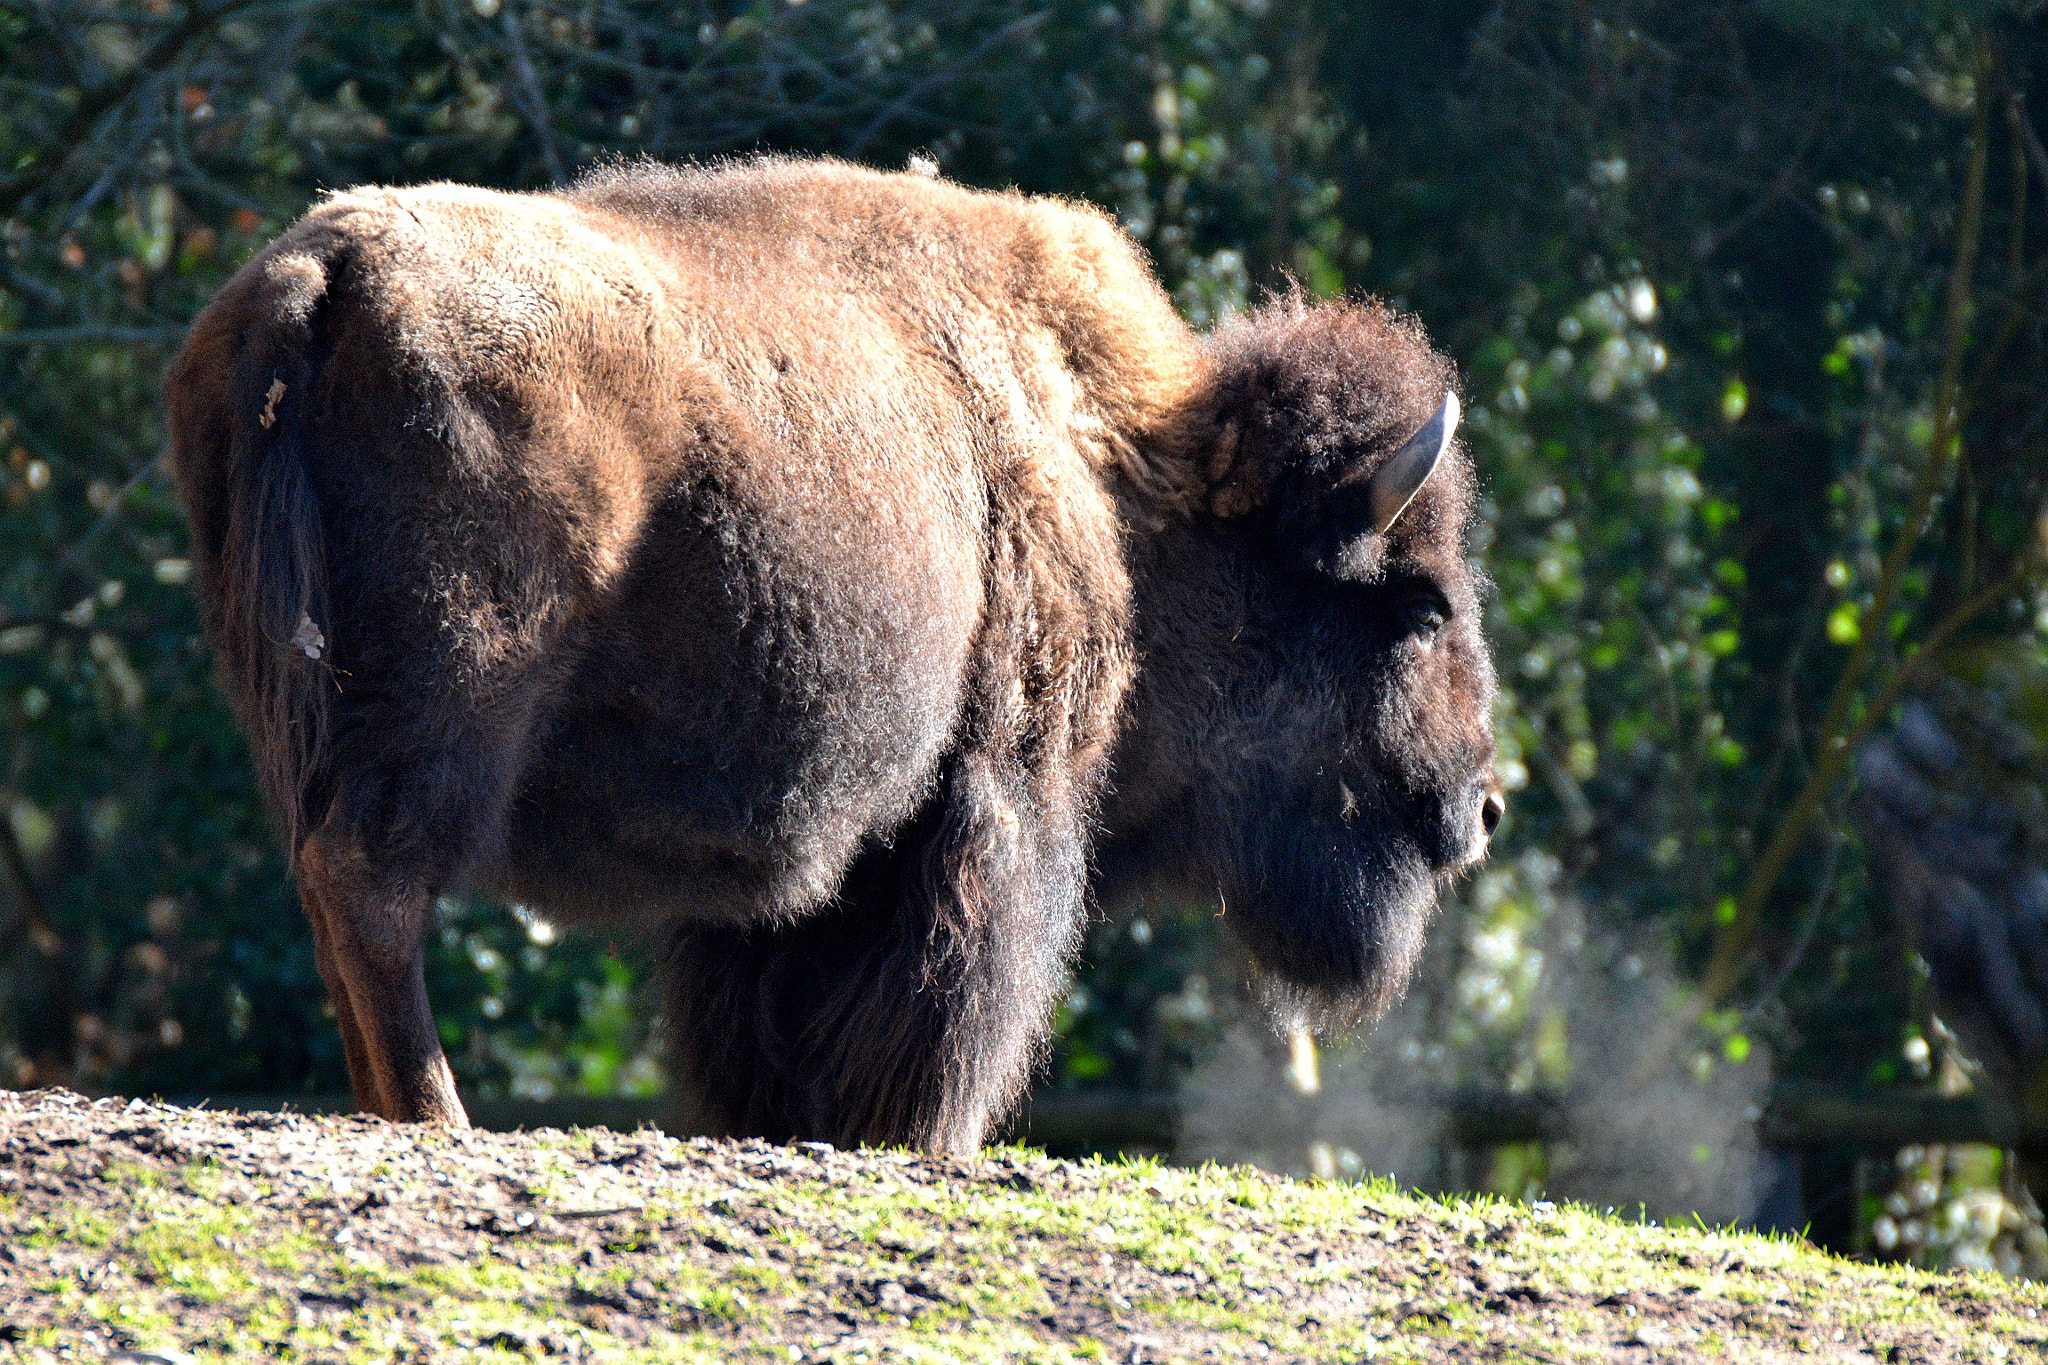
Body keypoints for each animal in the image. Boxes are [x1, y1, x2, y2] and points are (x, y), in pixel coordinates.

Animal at [168, 157, 1500, 1154]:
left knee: (328, 888)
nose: (1482, 806)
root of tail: (319, 272)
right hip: (451, 706)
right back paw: (437, 1116)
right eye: (1419, 608)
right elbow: (958, 981)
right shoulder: (997, 786)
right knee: (372, 880)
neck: (1126, 478)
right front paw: (925, 1141)